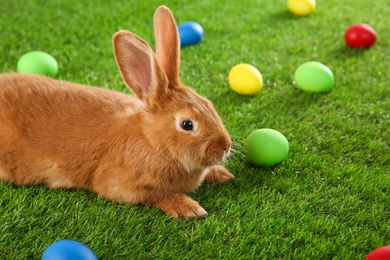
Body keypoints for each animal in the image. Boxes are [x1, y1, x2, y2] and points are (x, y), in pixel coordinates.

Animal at [0, 5, 235, 219]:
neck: (151, 141)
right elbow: (156, 195)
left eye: (209, 104)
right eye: (187, 124)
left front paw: (223, 174)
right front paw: (188, 208)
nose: (225, 146)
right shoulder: (124, 186)